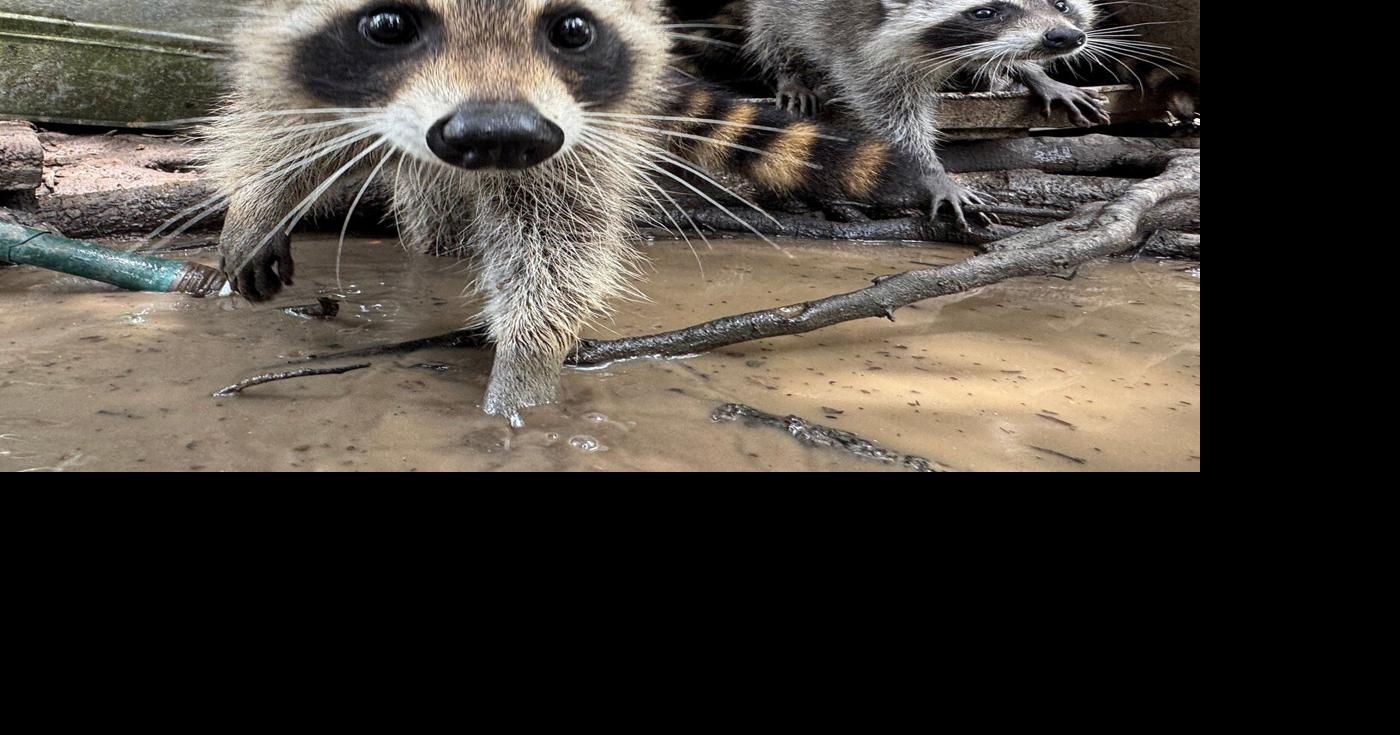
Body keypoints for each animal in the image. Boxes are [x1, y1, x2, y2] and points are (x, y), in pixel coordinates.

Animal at [205, 0, 926, 423]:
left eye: (572, 30)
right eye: (389, 26)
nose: (495, 136)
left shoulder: (576, 124)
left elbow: (562, 229)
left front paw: (527, 361)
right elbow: (278, 118)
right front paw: (258, 204)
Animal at [745, 0, 1110, 226]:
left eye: (1061, 5)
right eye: (985, 12)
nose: (1066, 36)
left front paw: (1035, 74)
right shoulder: (861, 46)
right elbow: (890, 113)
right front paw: (930, 171)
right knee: (772, 28)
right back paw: (790, 73)